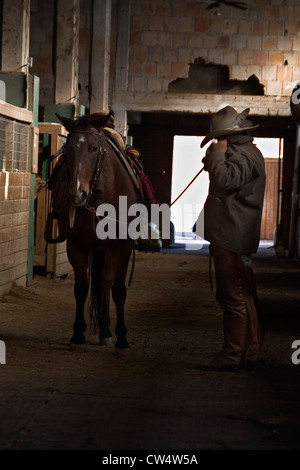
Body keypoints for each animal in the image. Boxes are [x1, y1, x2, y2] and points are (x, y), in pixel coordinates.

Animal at [47, 113, 141, 348]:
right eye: (67, 148)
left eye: (94, 148)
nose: (77, 194)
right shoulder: (76, 246)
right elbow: (82, 287)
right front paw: (78, 333)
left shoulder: (122, 247)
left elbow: (118, 289)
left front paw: (122, 337)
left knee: (106, 282)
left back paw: (106, 332)